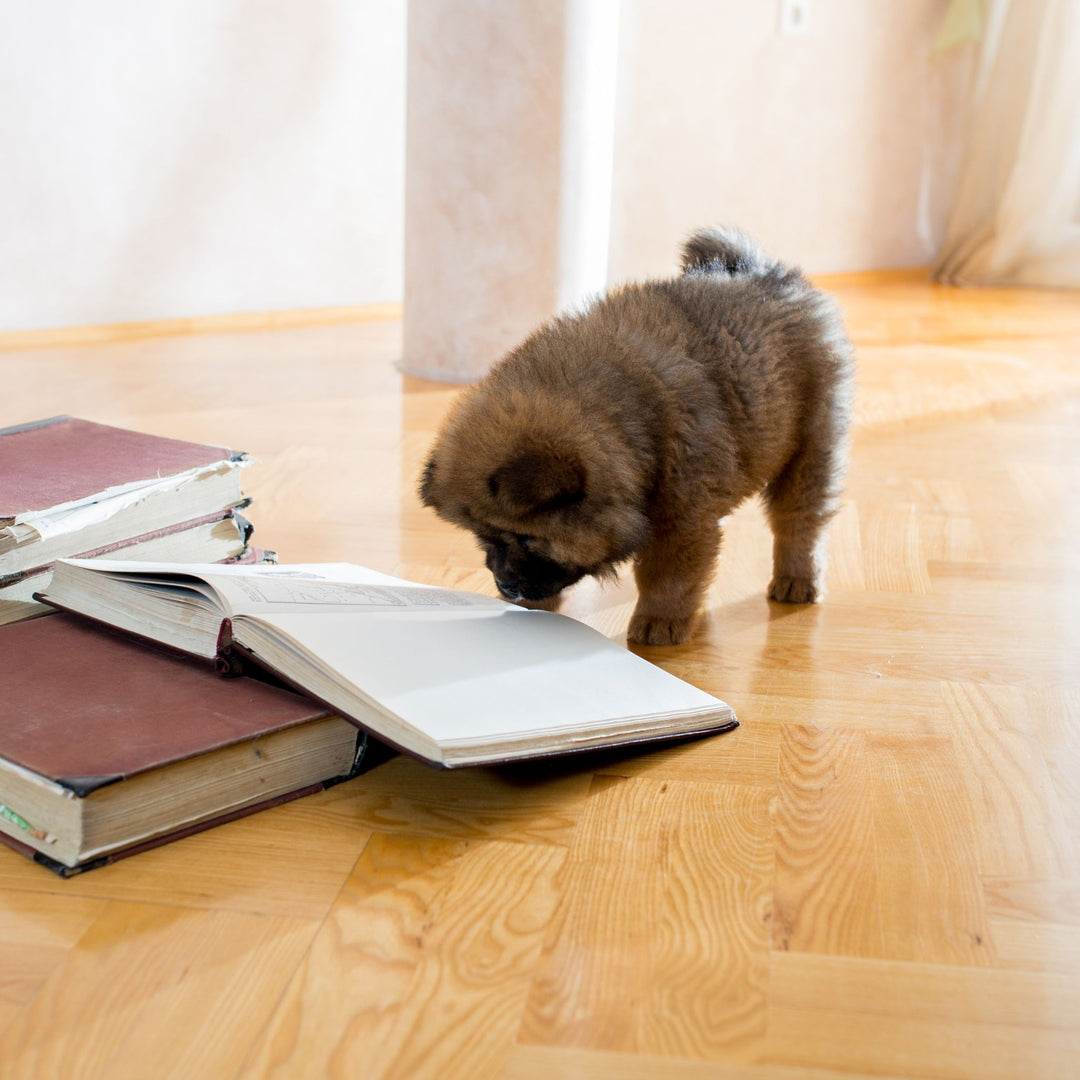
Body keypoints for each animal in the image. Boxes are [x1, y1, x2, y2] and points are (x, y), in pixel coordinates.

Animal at [419, 227, 851, 643]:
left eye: (526, 539)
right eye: (484, 537)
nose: (506, 586)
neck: (623, 425)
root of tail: (770, 275)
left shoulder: (680, 518)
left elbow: (666, 577)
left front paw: (660, 623)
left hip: (812, 446)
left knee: (800, 521)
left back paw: (797, 580)